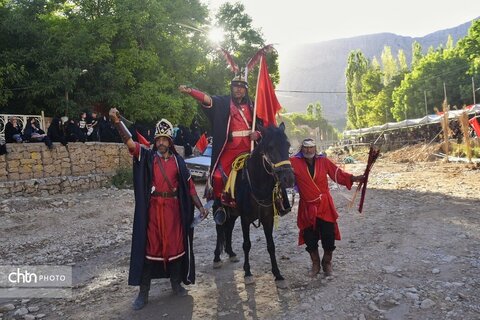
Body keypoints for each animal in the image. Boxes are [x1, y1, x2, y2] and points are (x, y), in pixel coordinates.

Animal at [213, 122, 294, 282]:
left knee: (229, 228)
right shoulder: (245, 218)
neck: (257, 185)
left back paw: (231, 253)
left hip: (233, 212)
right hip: (220, 207)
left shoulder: (268, 218)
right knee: (219, 229)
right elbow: (246, 244)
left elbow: (271, 245)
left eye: (288, 145)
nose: (289, 179)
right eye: (271, 147)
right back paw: (217, 258)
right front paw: (247, 272)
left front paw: (277, 273)